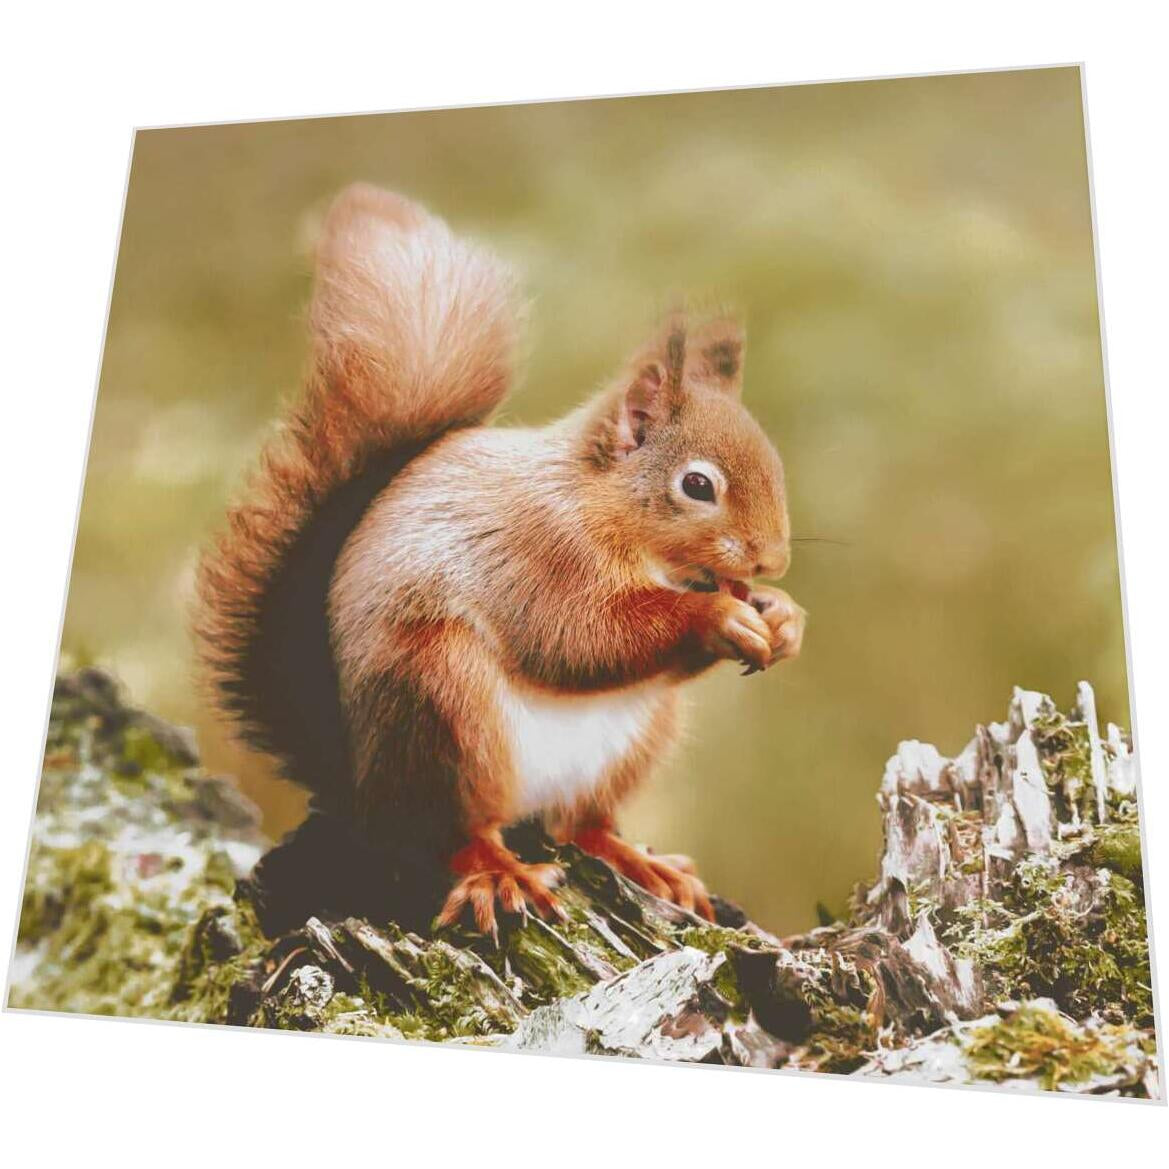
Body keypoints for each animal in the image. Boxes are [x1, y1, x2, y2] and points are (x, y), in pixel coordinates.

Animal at [195, 183, 805, 933]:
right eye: (696, 486)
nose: (771, 560)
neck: (602, 505)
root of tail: (364, 789)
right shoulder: (540, 553)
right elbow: (580, 638)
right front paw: (717, 616)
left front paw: (782, 618)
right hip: (442, 704)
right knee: (458, 830)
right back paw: (499, 873)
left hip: (632, 738)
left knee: (580, 824)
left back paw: (643, 863)